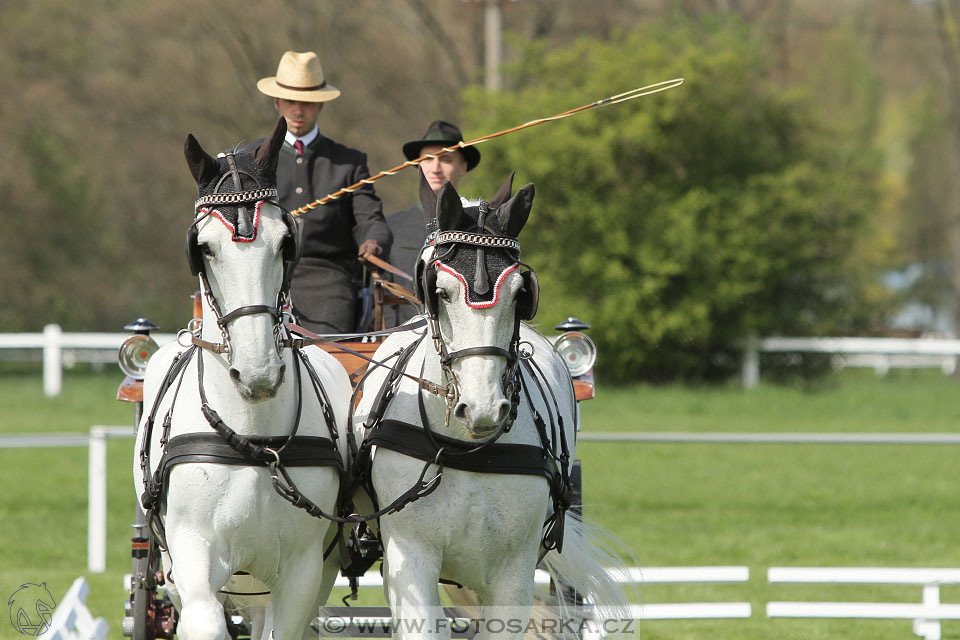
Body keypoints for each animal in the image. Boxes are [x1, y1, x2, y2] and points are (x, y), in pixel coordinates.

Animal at [130, 117, 348, 636]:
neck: (251, 437)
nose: (257, 371)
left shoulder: (303, 572)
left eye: (286, 242)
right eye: (203, 248)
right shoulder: (190, 556)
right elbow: (206, 621)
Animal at [352, 174, 632, 640]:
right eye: (439, 291)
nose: (482, 408)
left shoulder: (513, 571)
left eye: (521, 293)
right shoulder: (409, 557)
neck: (465, 449)